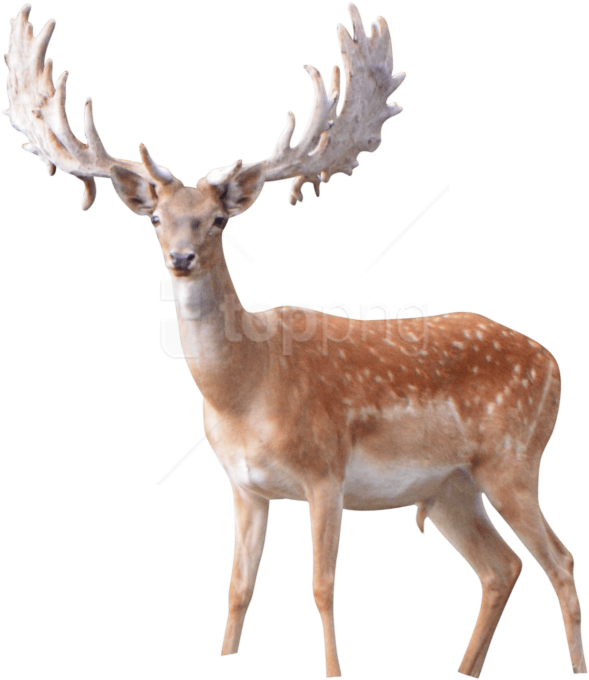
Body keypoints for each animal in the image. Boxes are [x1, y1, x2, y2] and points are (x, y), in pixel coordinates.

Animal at [3, 2, 586, 678]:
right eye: (156, 219)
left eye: (219, 220)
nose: (180, 258)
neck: (246, 388)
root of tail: (553, 362)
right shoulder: (245, 486)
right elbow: (237, 590)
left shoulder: (325, 471)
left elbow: (322, 586)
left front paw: (334, 671)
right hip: (448, 488)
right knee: (501, 567)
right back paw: (466, 669)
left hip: (514, 459)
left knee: (559, 559)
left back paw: (575, 666)